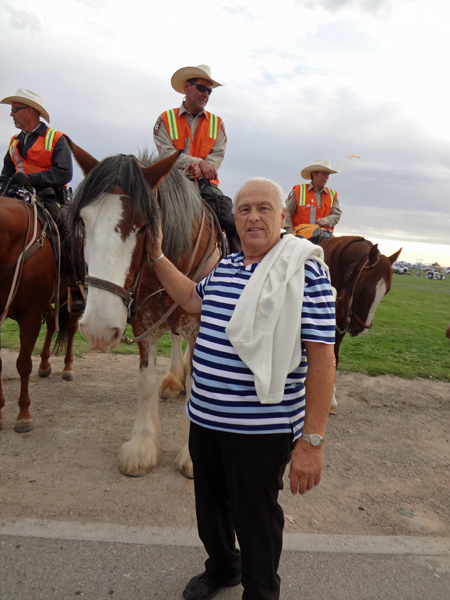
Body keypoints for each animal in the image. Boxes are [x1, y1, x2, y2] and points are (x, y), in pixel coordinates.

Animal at [0, 192, 80, 432]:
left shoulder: (30, 316)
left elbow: (24, 364)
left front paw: (23, 414)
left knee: (71, 328)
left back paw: (68, 367)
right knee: (53, 320)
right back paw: (45, 364)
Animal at [67, 144, 224, 478]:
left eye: (143, 225)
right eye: (84, 221)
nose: (99, 327)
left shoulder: (200, 328)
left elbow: (198, 384)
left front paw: (192, 455)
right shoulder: (144, 324)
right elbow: (145, 381)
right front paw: (143, 444)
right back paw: (173, 377)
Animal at [318, 236, 402, 412]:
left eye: (386, 291)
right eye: (364, 288)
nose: (361, 329)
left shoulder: (338, 331)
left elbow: (334, 360)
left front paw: (331, 398)